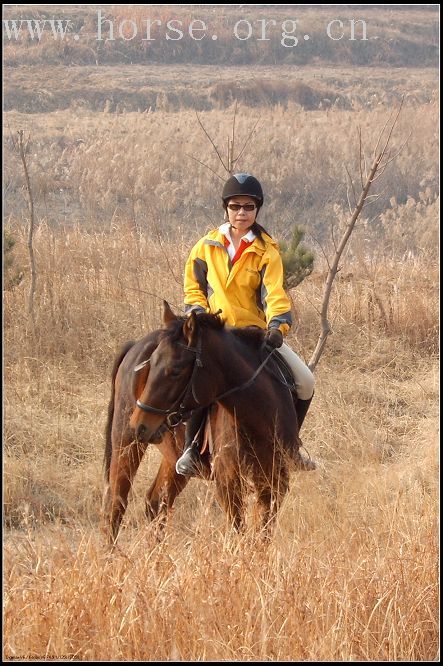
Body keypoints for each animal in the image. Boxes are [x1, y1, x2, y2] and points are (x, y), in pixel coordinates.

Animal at [103, 304, 302, 544]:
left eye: (176, 370)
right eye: (150, 365)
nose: (139, 425)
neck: (259, 418)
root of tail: (135, 344)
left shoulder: (275, 483)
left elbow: (263, 536)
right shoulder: (228, 485)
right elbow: (240, 534)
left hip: (172, 458)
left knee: (156, 503)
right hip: (126, 444)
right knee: (116, 504)